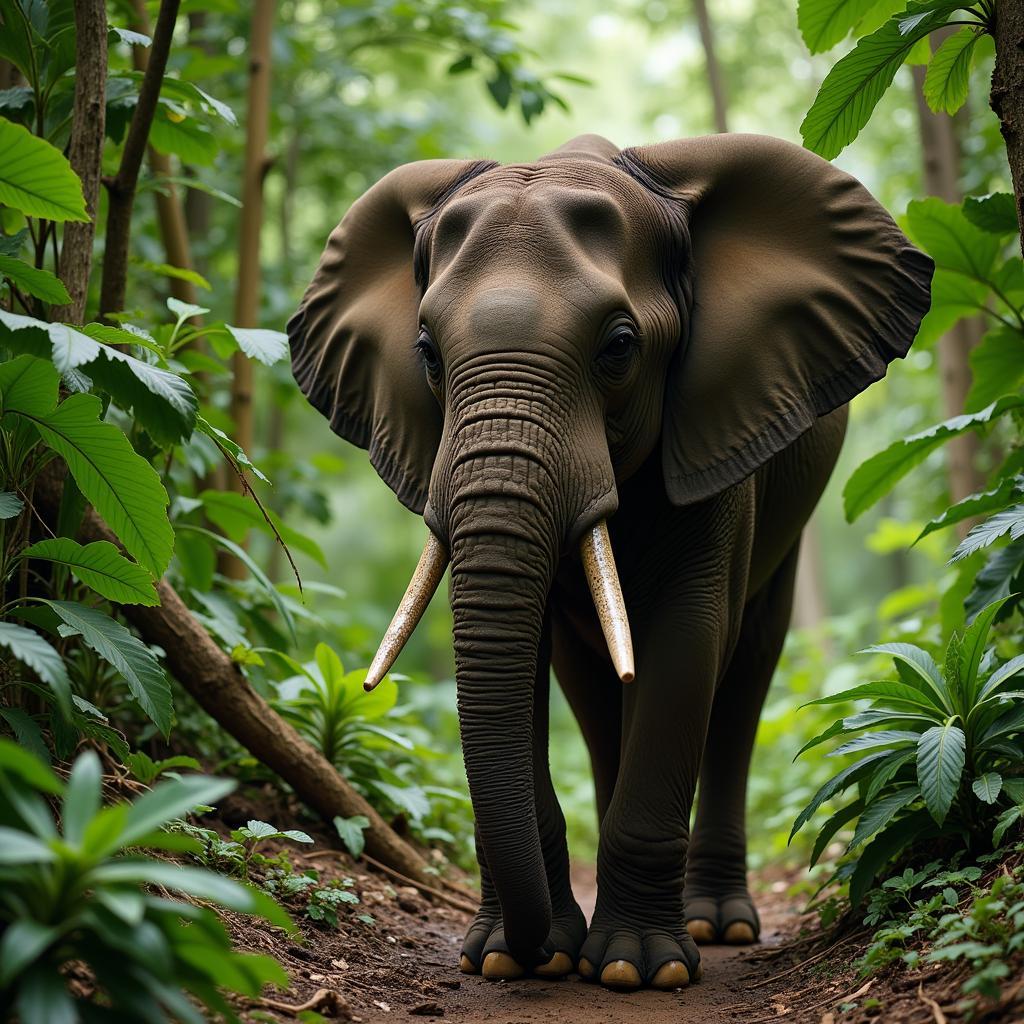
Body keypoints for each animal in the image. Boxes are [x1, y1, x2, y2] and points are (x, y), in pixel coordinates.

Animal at [286, 134, 929, 991]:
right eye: (425, 353)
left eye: (619, 348)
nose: (530, 953)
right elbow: (527, 658)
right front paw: (511, 957)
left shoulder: (717, 430)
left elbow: (691, 638)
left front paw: (636, 969)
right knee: (593, 689)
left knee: (745, 670)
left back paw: (716, 924)